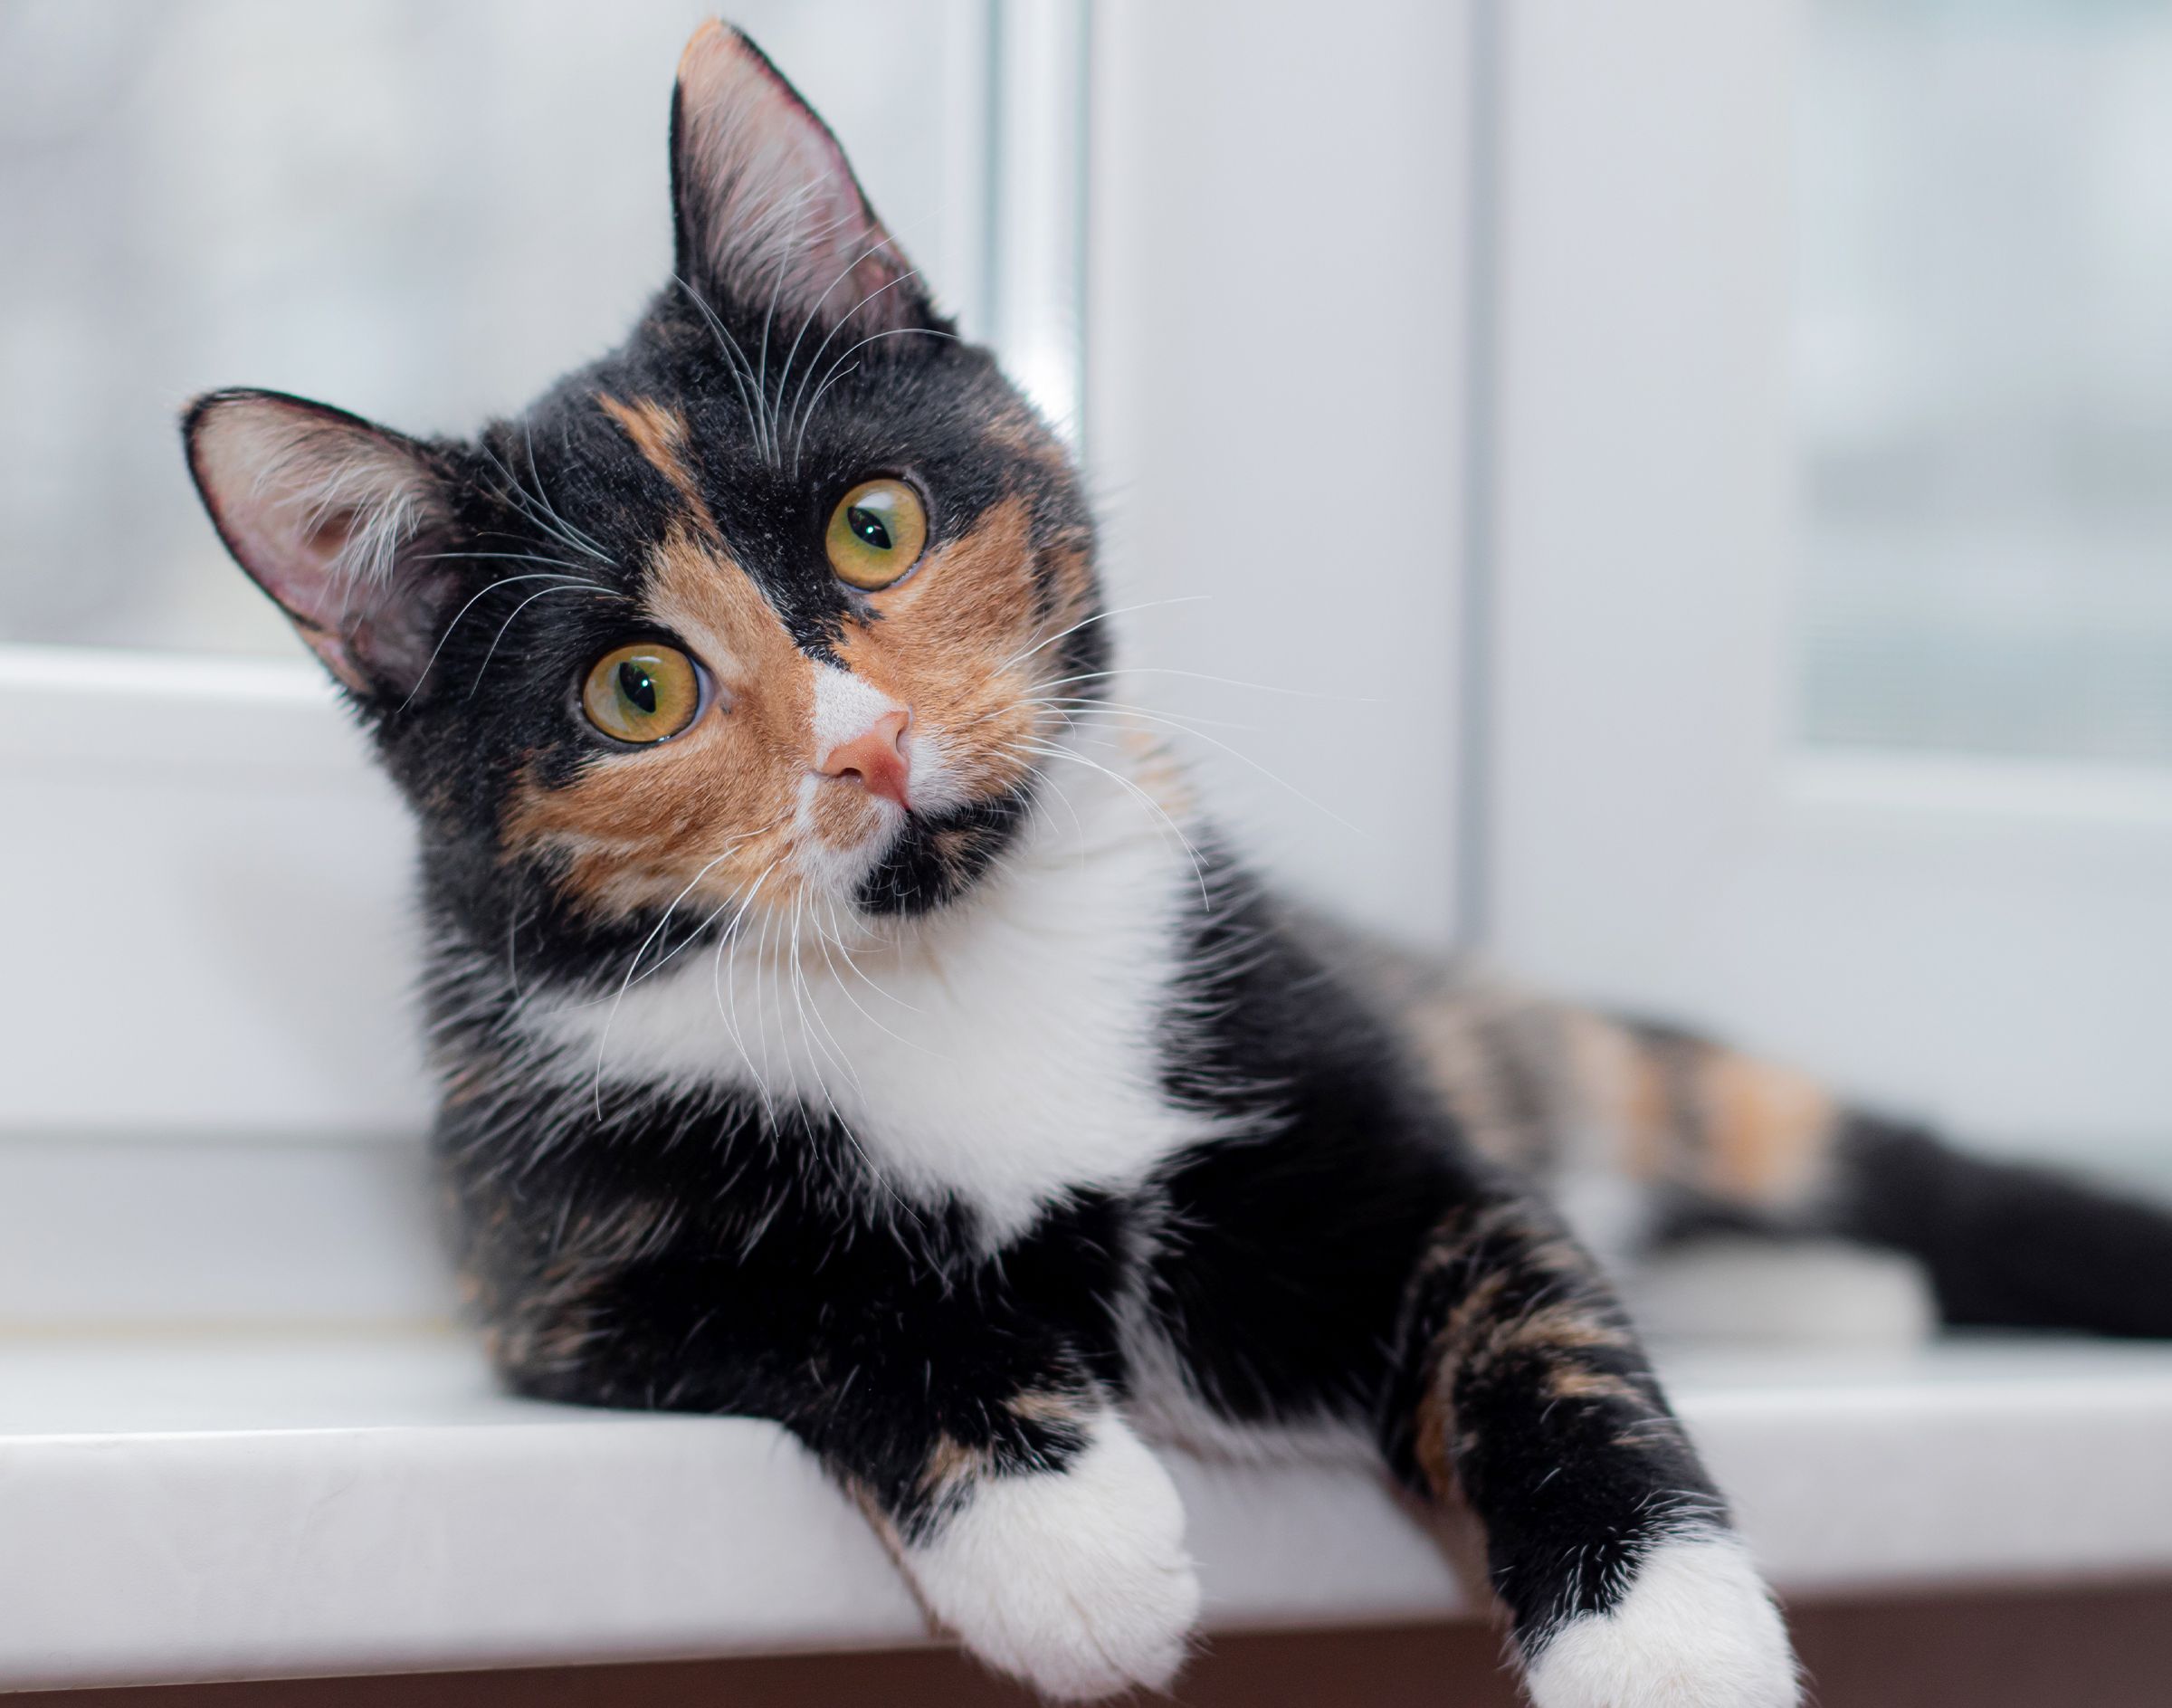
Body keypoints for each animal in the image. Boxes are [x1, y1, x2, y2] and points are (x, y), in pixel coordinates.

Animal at [186, 16, 2172, 1703]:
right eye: (636, 688)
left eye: (874, 522)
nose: (865, 747)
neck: (948, 956)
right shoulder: (546, 1259)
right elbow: (819, 1304)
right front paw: (1071, 1541)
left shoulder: (1370, 1122)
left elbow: (1549, 1341)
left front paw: (1666, 1643)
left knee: (1854, 1162)